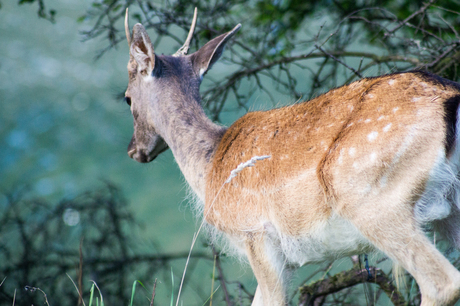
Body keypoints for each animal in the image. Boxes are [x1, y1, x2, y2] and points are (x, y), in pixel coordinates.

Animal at [124, 8, 460, 304]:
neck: (210, 167)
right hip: (448, 209)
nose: (134, 150)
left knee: (442, 283)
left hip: (374, 199)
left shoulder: (256, 234)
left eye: (126, 97)